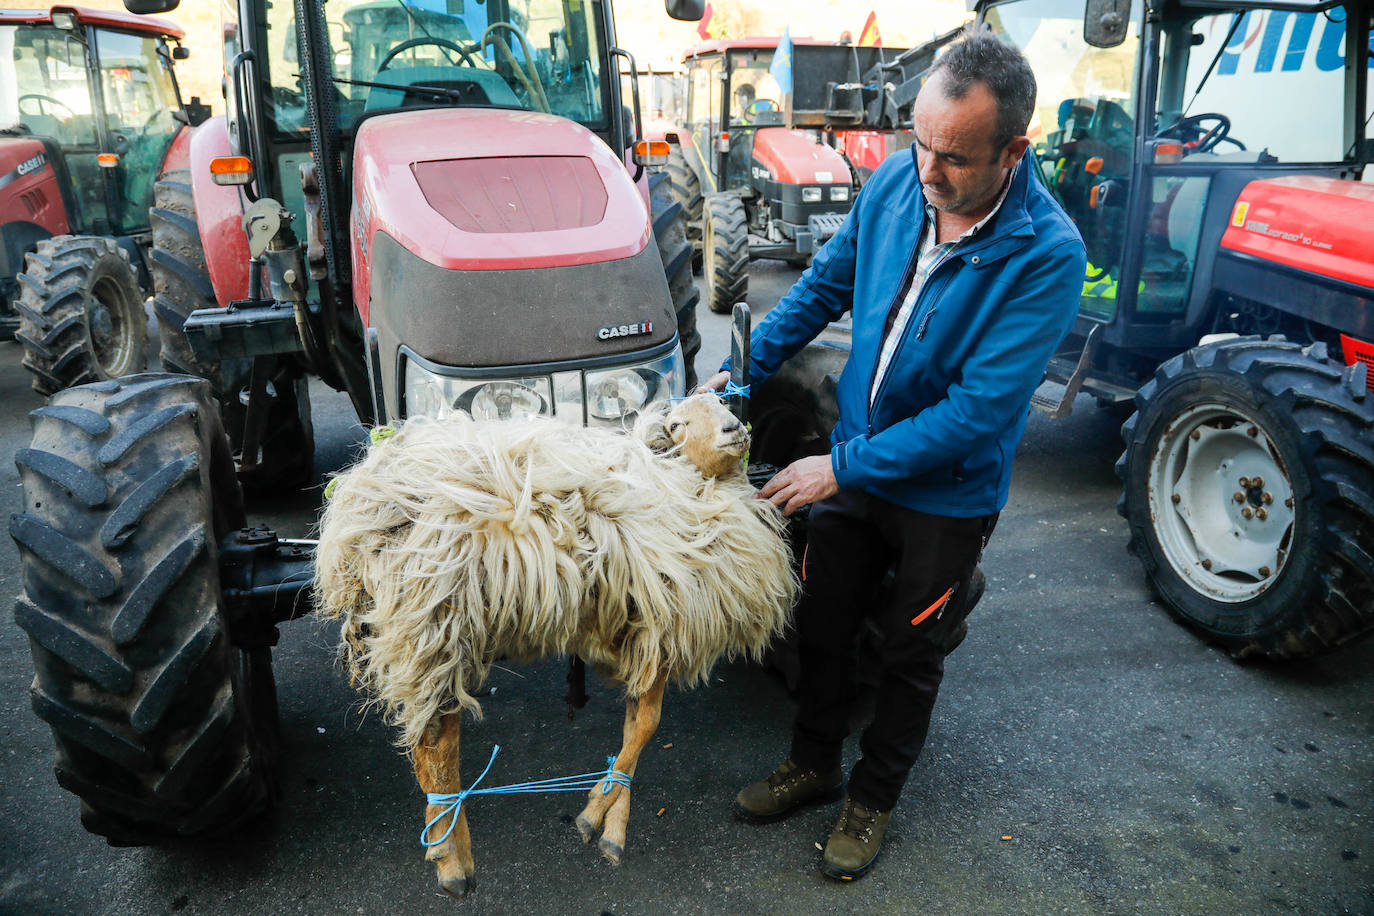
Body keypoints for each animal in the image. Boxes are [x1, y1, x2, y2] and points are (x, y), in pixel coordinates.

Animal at [316, 392, 802, 895]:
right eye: (679, 424)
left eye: (725, 402)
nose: (734, 429)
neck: (694, 486)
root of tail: (358, 515)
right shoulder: (662, 623)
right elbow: (647, 726)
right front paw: (598, 815)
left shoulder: (642, 634)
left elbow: (635, 726)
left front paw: (609, 818)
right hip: (435, 625)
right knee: (437, 746)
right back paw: (452, 861)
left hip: (423, 636)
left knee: (423, 740)